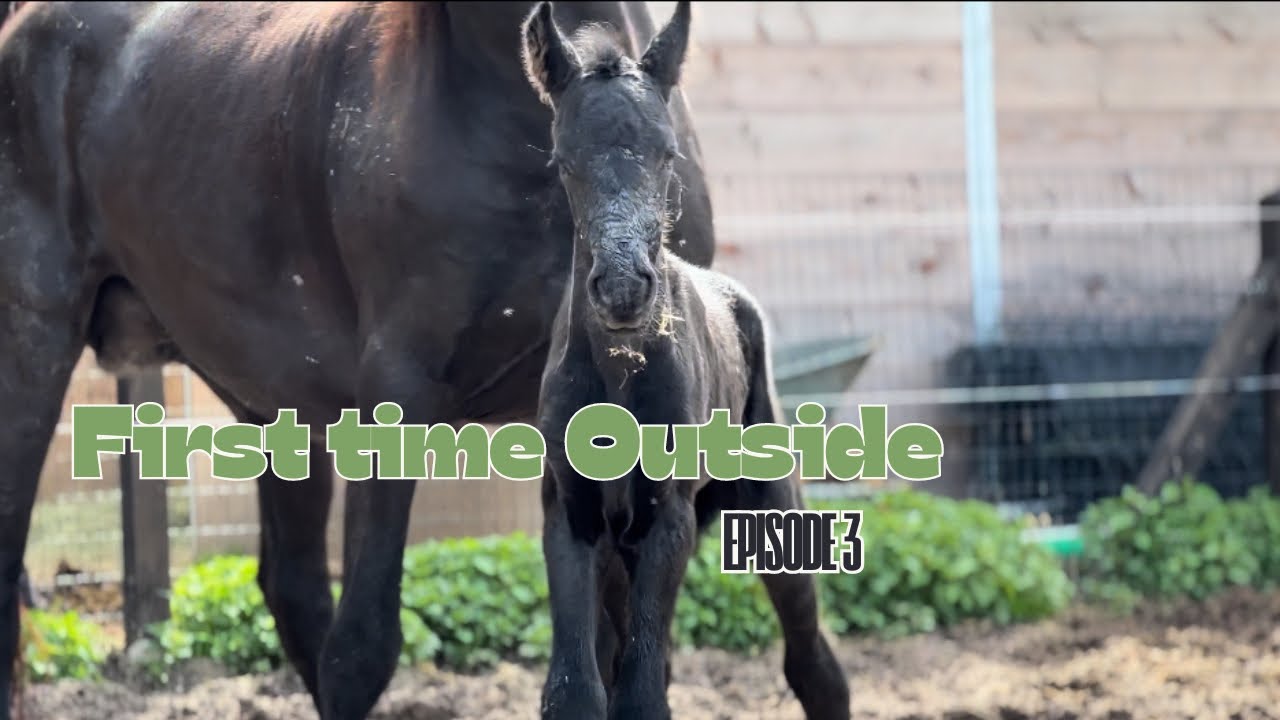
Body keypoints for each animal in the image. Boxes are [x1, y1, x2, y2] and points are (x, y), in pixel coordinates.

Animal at [0, 3, 715, 719]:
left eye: (666, 157)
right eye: (562, 160)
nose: (621, 287)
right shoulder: (397, 394)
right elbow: (364, 647)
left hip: (280, 410)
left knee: (294, 592)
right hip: (33, 349)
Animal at [523, 3, 851, 718]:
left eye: (668, 152)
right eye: (563, 160)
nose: (623, 290)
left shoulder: (667, 515)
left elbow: (643, 694)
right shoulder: (572, 513)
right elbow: (577, 689)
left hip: (772, 506)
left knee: (813, 661)